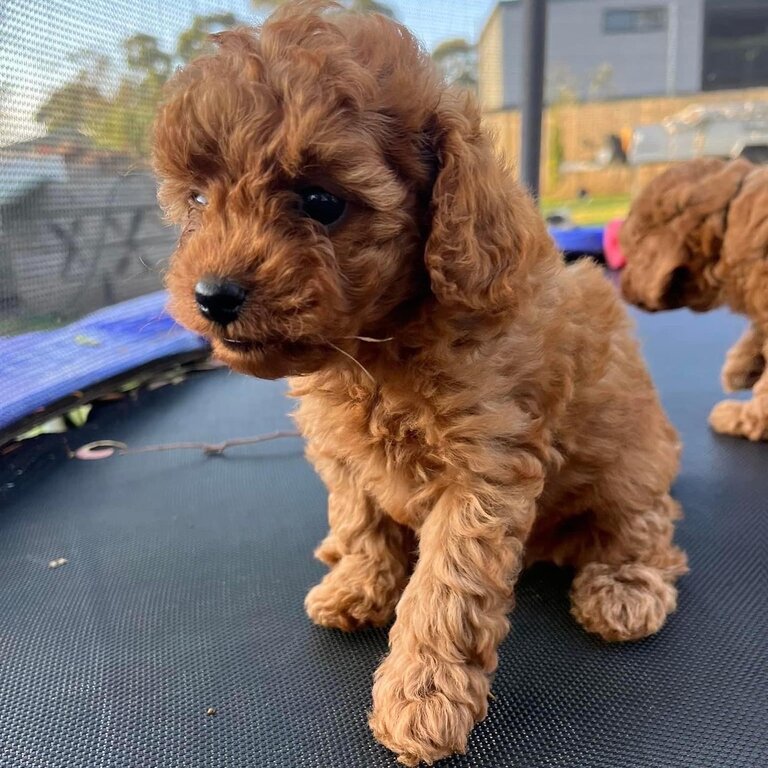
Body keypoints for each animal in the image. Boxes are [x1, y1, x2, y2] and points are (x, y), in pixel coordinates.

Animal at [153, 4, 688, 760]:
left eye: (321, 201)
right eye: (198, 197)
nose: (212, 295)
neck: (379, 345)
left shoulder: (485, 471)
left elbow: (447, 587)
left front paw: (422, 696)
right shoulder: (344, 453)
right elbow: (359, 515)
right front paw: (359, 582)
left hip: (631, 459)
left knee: (646, 524)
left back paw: (625, 584)